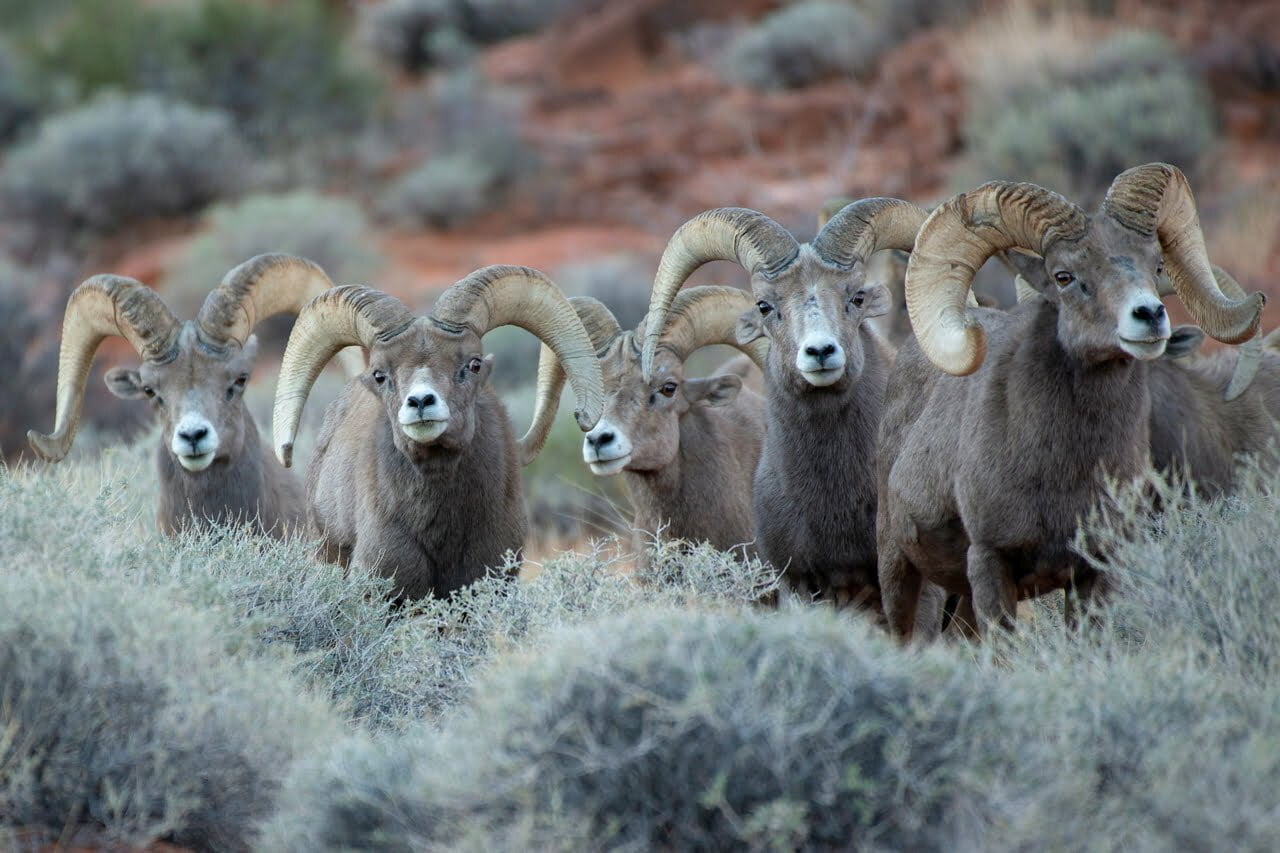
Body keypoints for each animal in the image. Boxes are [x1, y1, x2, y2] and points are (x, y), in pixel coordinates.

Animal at [875, 163, 1265, 637]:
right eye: (1063, 277)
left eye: (1155, 265)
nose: (1150, 315)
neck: (1062, 466)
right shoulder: (990, 564)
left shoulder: (1095, 571)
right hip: (898, 571)